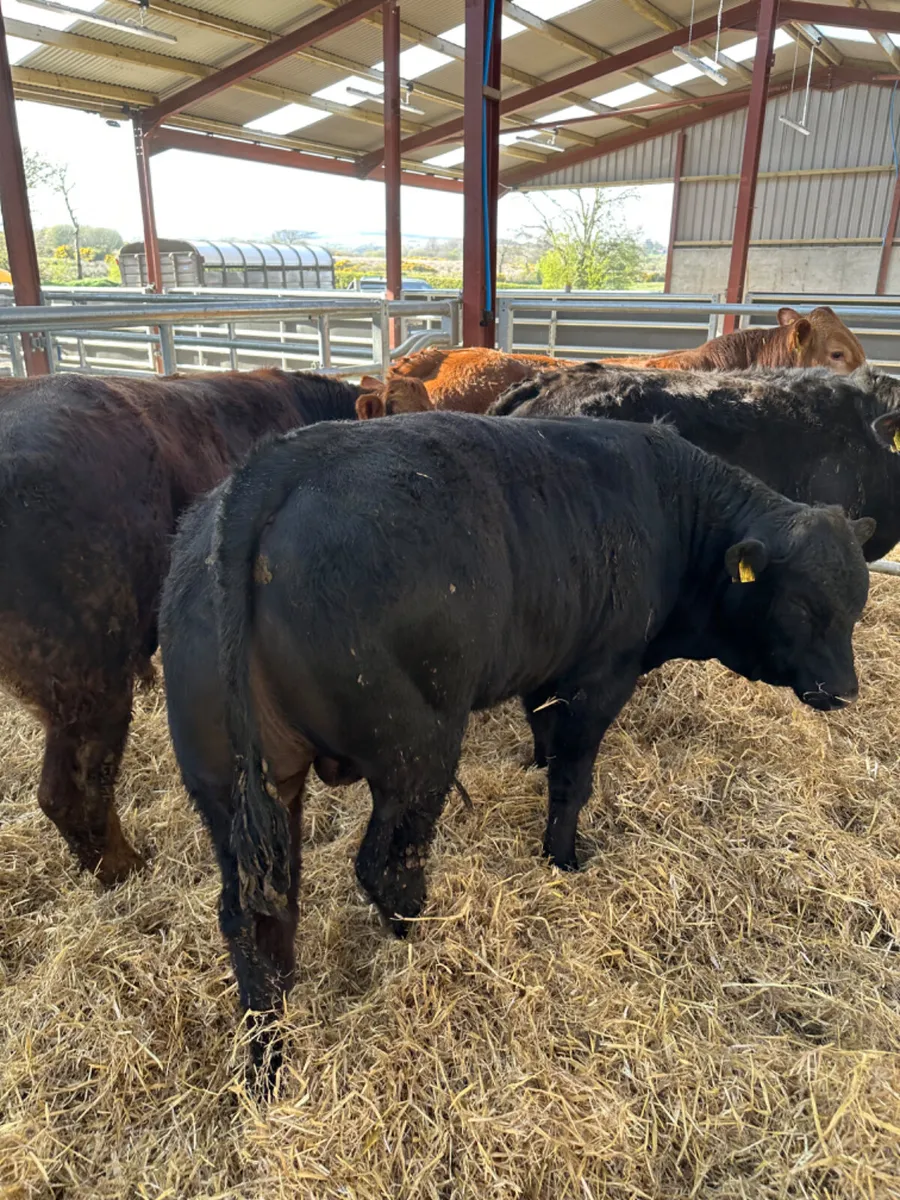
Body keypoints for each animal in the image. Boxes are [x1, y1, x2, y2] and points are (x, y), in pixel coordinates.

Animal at [159, 412, 873, 1082]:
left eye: (857, 602)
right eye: (804, 605)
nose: (844, 690)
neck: (672, 512)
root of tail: (270, 469)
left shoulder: (546, 669)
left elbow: (543, 735)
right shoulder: (598, 675)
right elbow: (572, 777)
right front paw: (565, 857)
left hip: (236, 786)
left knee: (257, 916)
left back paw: (269, 1057)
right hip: (418, 753)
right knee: (386, 865)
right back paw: (421, 941)